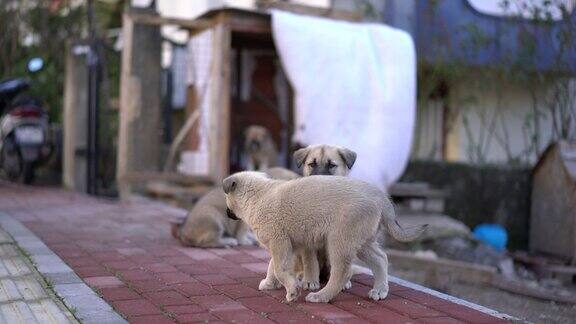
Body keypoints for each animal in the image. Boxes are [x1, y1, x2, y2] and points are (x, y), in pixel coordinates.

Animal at [223, 172, 426, 304]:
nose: (227, 213)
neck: (257, 196)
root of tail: (380, 196)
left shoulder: (279, 242)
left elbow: (279, 269)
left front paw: (292, 291)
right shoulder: (288, 245)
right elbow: (273, 266)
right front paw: (270, 283)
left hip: (339, 241)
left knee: (343, 272)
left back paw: (321, 296)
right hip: (361, 242)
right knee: (381, 259)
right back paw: (380, 290)